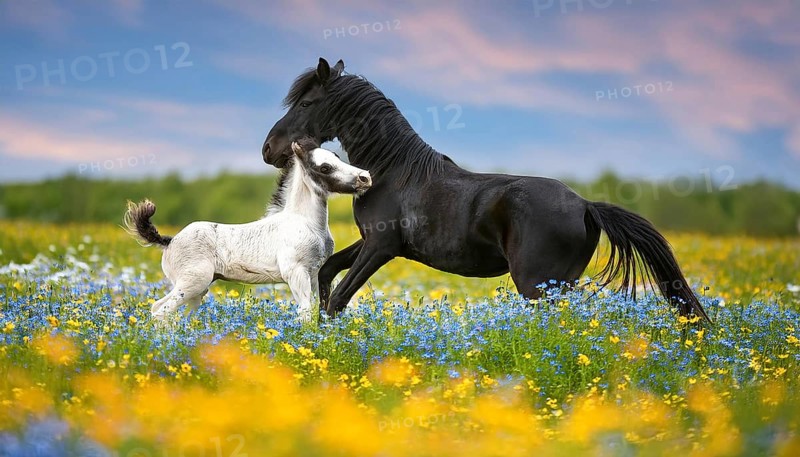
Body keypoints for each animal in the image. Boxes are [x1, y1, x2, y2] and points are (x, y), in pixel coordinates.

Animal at [124, 137, 372, 321]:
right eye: (325, 167)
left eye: (336, 156)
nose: (365, 177)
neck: (304, 222)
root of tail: (170, 240)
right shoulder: (295, 272)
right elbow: (305, 313)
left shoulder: (312, 273)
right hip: (192, 283)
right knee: (160, 311)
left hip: (198, 289)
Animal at [261, 58, 710, 322]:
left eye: (306, 103)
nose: (269, 149)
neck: (394, 172)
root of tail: (585, 205)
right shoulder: (374, 242)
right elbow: (326, 275)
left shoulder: (381, 248)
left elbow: (338, 299)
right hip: (558, 285)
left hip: (536, 285)